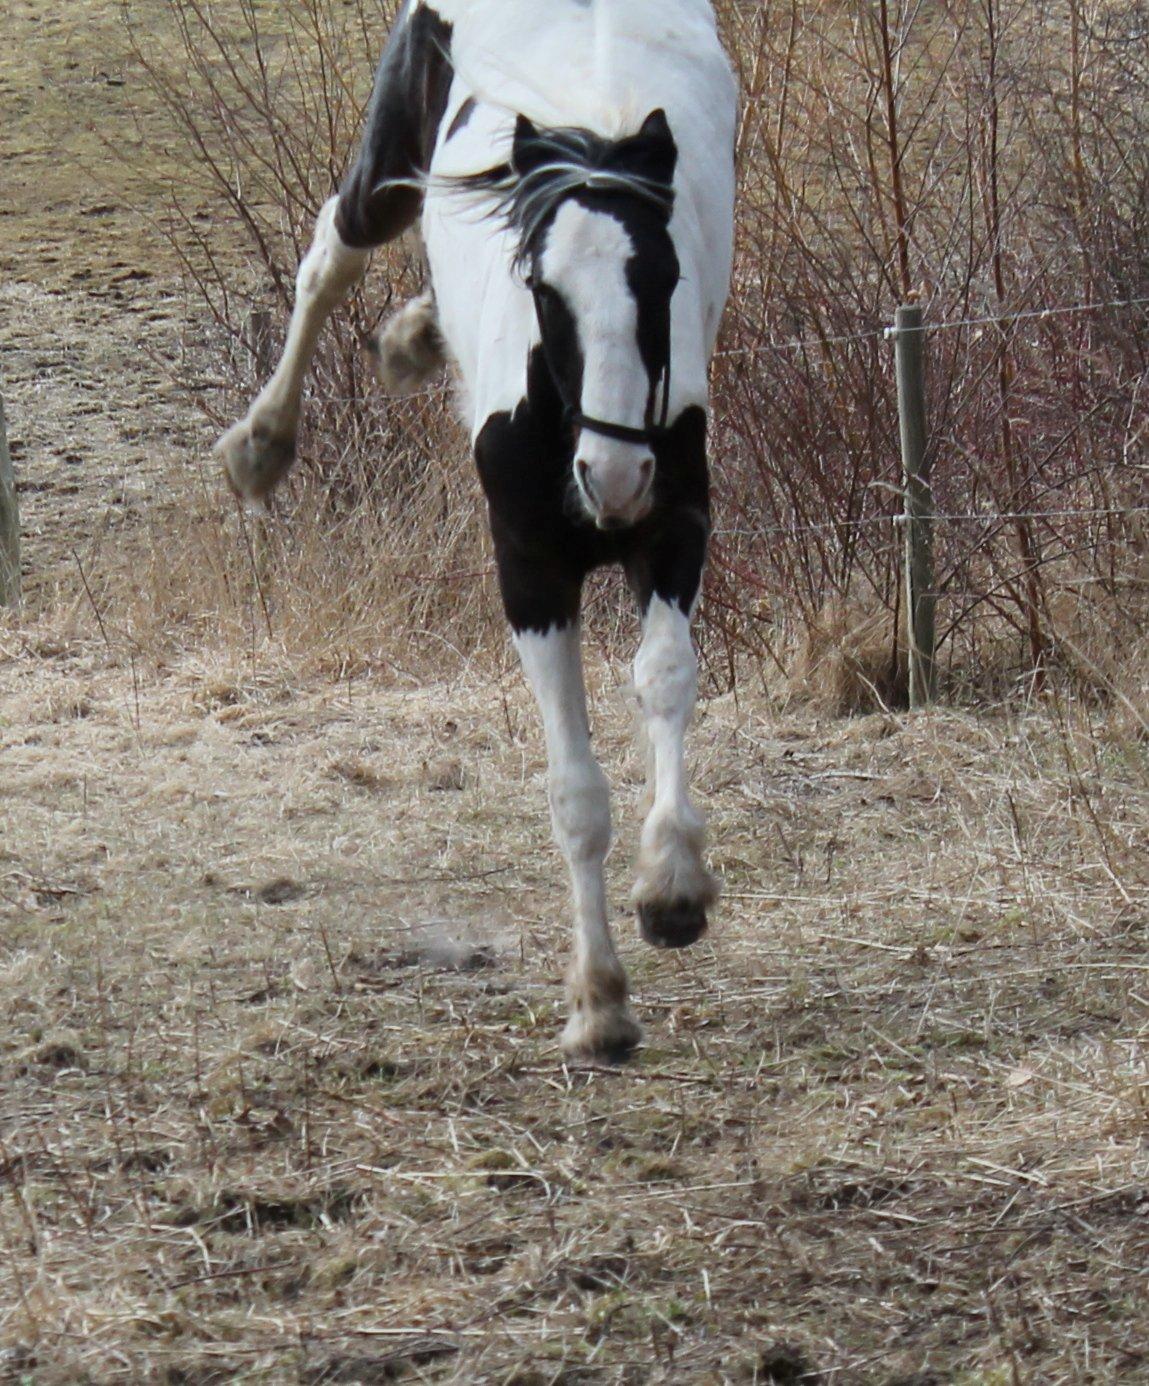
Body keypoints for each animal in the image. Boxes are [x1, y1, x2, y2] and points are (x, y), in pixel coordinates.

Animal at [214, 0, 737, 1058]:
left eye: (665, 276)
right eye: (541, 288)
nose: (610, 477)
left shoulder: (673, 531)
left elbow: (664, 680)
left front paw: (672, 887)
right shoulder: (528, 571)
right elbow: (574, 793)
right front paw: (597, 1003)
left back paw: (415, 334)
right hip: (385, 158)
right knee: (332, 253)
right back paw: (263, 442)